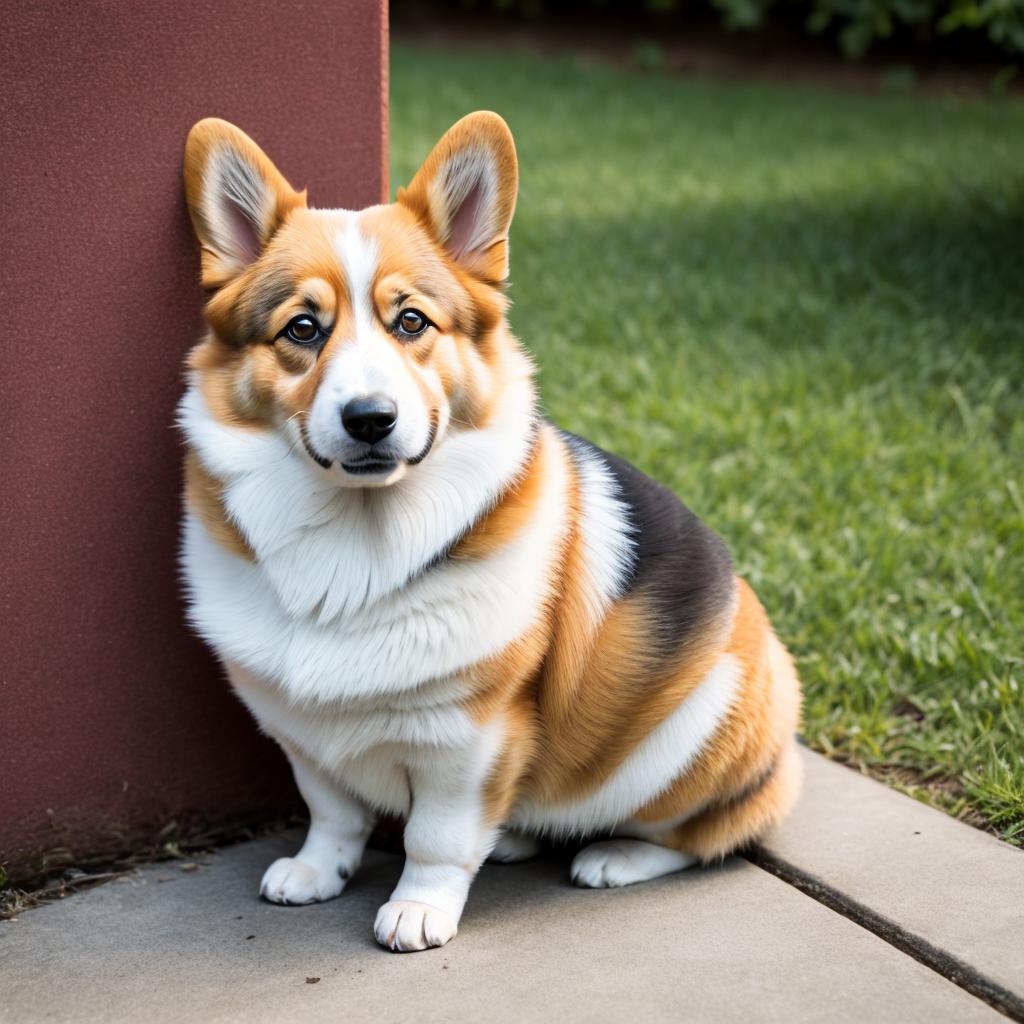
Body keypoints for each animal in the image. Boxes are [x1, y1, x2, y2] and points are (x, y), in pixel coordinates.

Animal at [182, 112, 806, 950]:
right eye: (303, 329)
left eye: (411, 321)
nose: (371, 419)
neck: (362, 531)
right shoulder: (302, 732)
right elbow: (333, 813)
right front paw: (316, 873)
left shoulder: (467, 740)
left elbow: (436, 840)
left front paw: (419, 909)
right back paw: (516, 837)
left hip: (692, 733)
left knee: (704, 834)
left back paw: (613, 857)